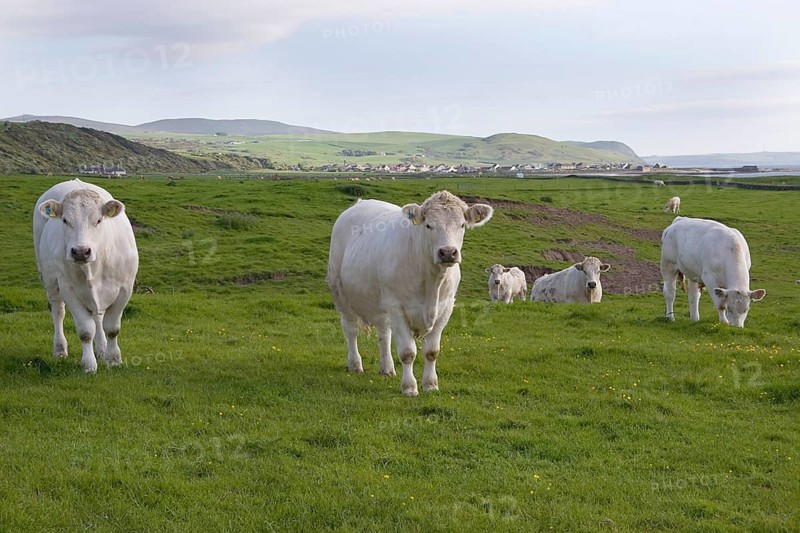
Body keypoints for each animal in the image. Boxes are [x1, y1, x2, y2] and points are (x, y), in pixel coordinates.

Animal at [33, 179, 139, 373]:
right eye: (65, 220)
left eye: (98, 220)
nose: (81, 251)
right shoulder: (68, 289)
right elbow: (85, 331)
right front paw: (89, 364)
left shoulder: (125, 288)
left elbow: (112, 328)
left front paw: (114, 359)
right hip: (49, 278)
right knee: (58, 311)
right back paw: (60, 349)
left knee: (97, 317)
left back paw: (102, 349)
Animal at [327, 191, 493, 396]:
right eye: (428, 225)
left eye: (462, 225)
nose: (448, 252)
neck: (432, 283)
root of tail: (360, 203)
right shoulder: (397, 307)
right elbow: (407, 352)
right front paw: (409, 387)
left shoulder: (445, 308)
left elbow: (432, 351)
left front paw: (430, 384)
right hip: (341, 292)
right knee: (351, 330)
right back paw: (355, 364)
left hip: (381, 302)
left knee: (384, 333)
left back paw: (387, 368)